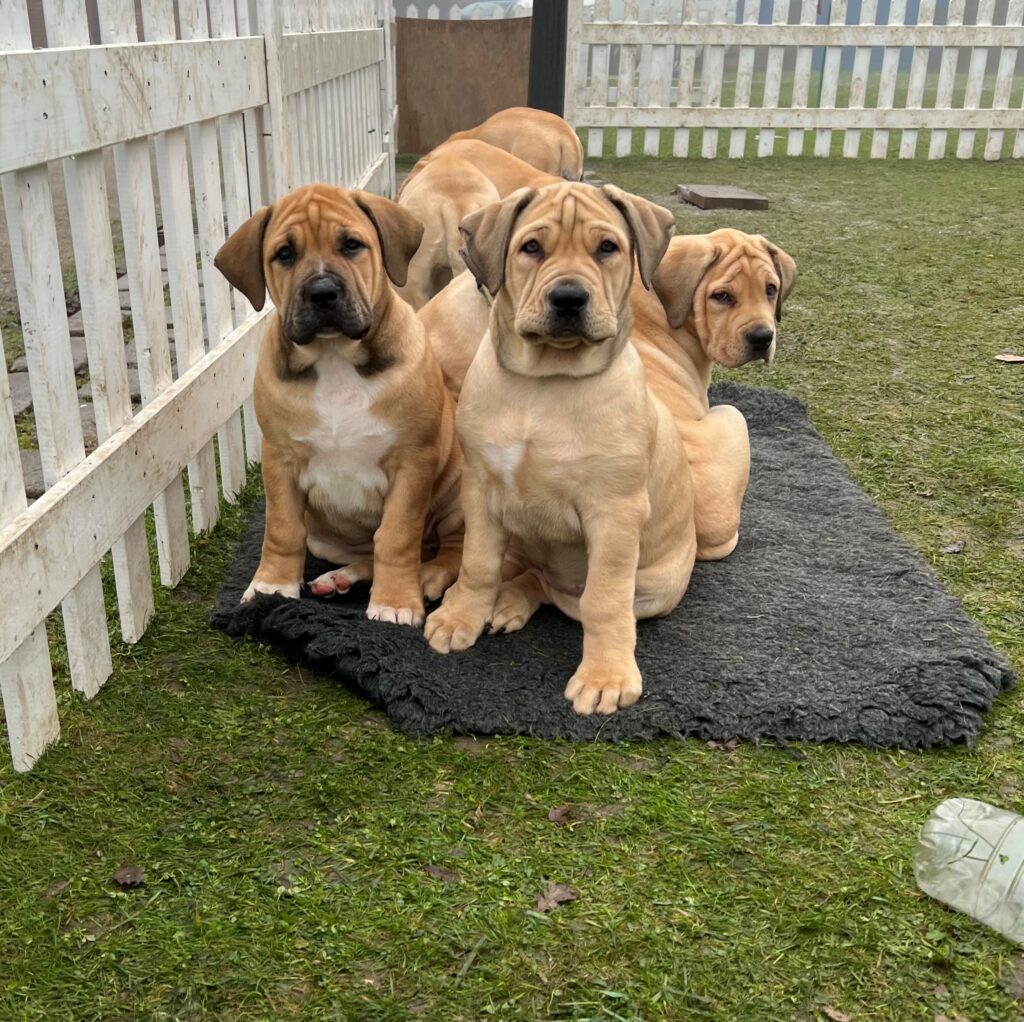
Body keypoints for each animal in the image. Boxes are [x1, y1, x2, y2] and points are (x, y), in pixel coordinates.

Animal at [214, 187, 462, 626]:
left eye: (351, 245)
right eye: (284, 254)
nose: (322, 292)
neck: (334, 358)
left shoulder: (412, 461)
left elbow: (397, 536)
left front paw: (396, 603)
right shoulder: (279, 458)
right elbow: (282, 527)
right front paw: (271, 586)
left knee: (450, 549)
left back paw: (427, 577)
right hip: (326, 538)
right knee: (374, 551)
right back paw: (341, 578)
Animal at [419, 180, 700, 716]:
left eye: (607, 248)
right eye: (532, 248)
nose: (569, 298)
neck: (544, 383)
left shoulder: (614, 513)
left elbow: (605, 602)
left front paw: (605, 676)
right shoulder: (480, 490)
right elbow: (478, 564)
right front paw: (461, 616)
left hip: (657, 585)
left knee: (572, 598)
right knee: (527, 575)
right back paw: (499, 599)